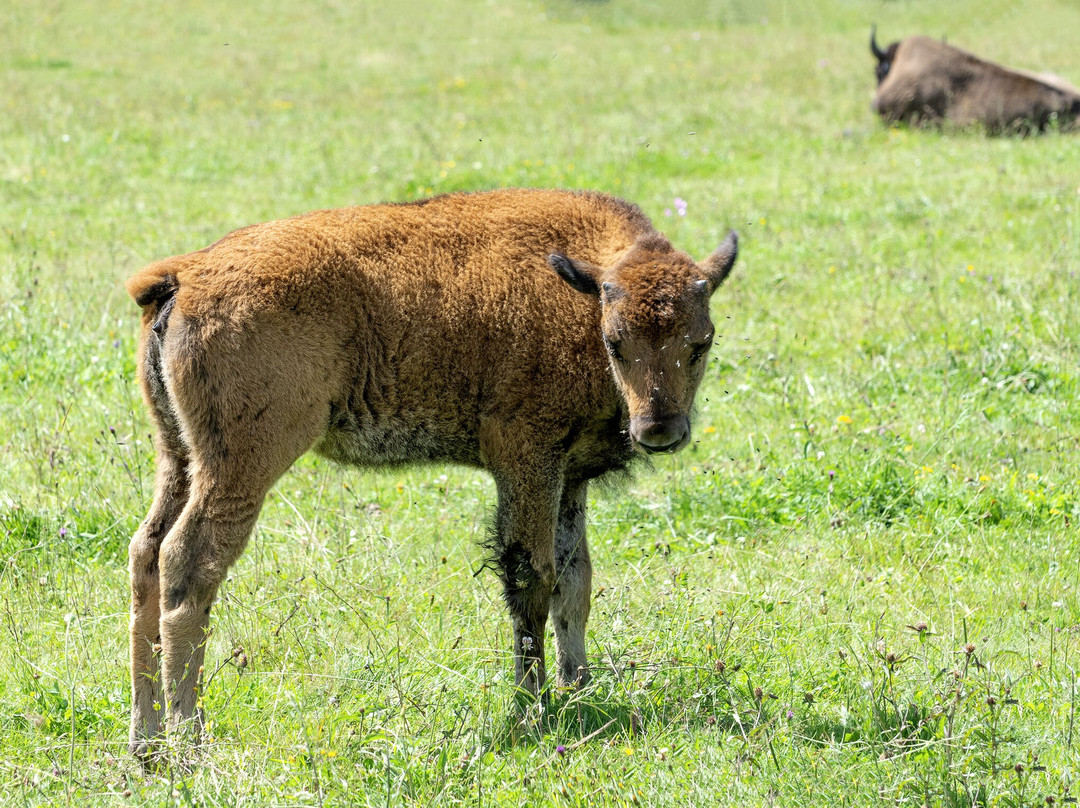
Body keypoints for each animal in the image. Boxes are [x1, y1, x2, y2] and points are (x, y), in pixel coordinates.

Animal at [122, 187, 738, 756]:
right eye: (615, 342)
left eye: (701, 342)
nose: (659, 429)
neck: (580, 290)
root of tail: (185, 274)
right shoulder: (526, 458)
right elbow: (532, 579)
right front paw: (533, 708)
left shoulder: (569, 479)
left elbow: (575, 580)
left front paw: (576, 688)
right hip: (242, 466)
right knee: (188, 564)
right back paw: (188, 740)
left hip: (179, 457)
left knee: (146, 554)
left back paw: (144, 741)